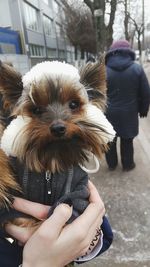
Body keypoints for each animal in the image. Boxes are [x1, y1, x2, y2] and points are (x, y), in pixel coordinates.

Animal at [0, 59, 115, 230]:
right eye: (36, 110)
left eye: (73, 104)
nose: (58, 128)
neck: (54, 157)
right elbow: (21, 218)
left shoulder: (79, 193)